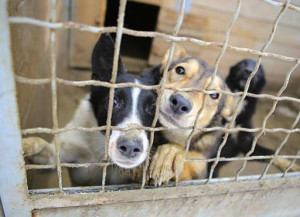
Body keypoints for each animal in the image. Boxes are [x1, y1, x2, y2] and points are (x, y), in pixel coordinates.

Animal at [22, 34, 161, 186]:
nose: (130, 148)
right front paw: (25, 144)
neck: (98, 146)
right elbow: (42, 148)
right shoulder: (54, 158)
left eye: (153, 108)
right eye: (113, 102)